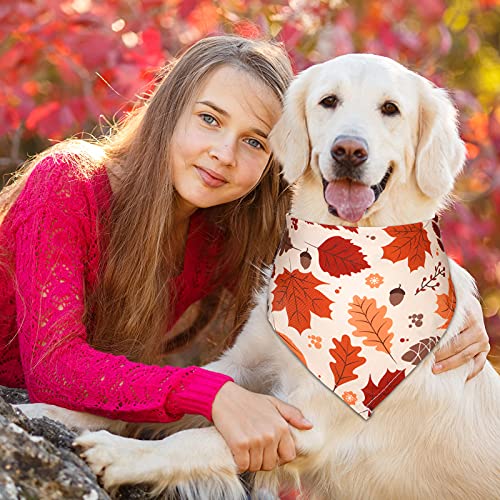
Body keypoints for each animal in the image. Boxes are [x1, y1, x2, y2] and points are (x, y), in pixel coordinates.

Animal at [16, 52, 500, 498]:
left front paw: (121, 455)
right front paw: (52, 413)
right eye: (329, 101)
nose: (348, 151)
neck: (345, 252)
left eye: (391, 109)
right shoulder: (242, 363)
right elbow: (163, 392)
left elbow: (203, 438)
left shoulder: (314, 421)